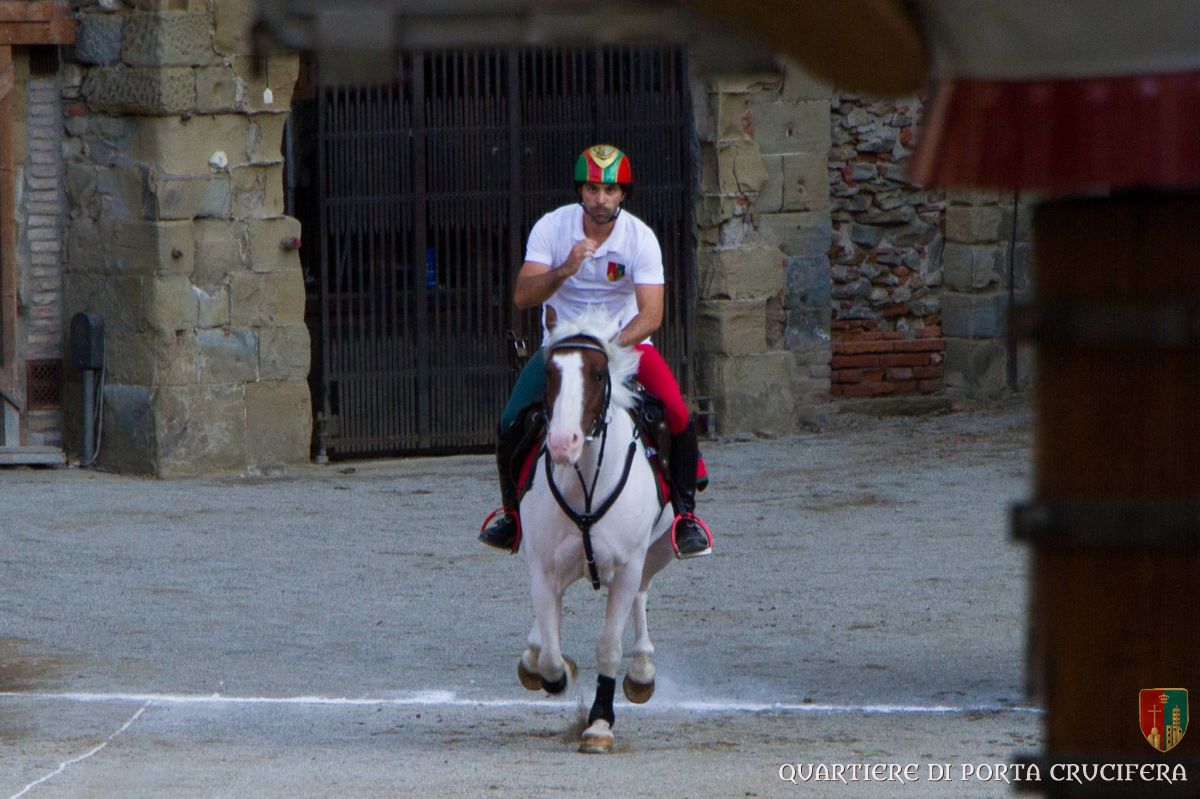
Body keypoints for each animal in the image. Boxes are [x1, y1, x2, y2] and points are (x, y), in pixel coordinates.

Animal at [515, 313, 676, 754]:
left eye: (599, 373)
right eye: (550, 373)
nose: (561, 443)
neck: (585, 481)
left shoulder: (627, 566)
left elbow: (608, 647)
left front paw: (600, 724)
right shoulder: (542, 567)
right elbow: (551, 652)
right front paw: (556, 674)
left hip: (658, 551)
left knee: (642, 595)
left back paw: (642, 670)